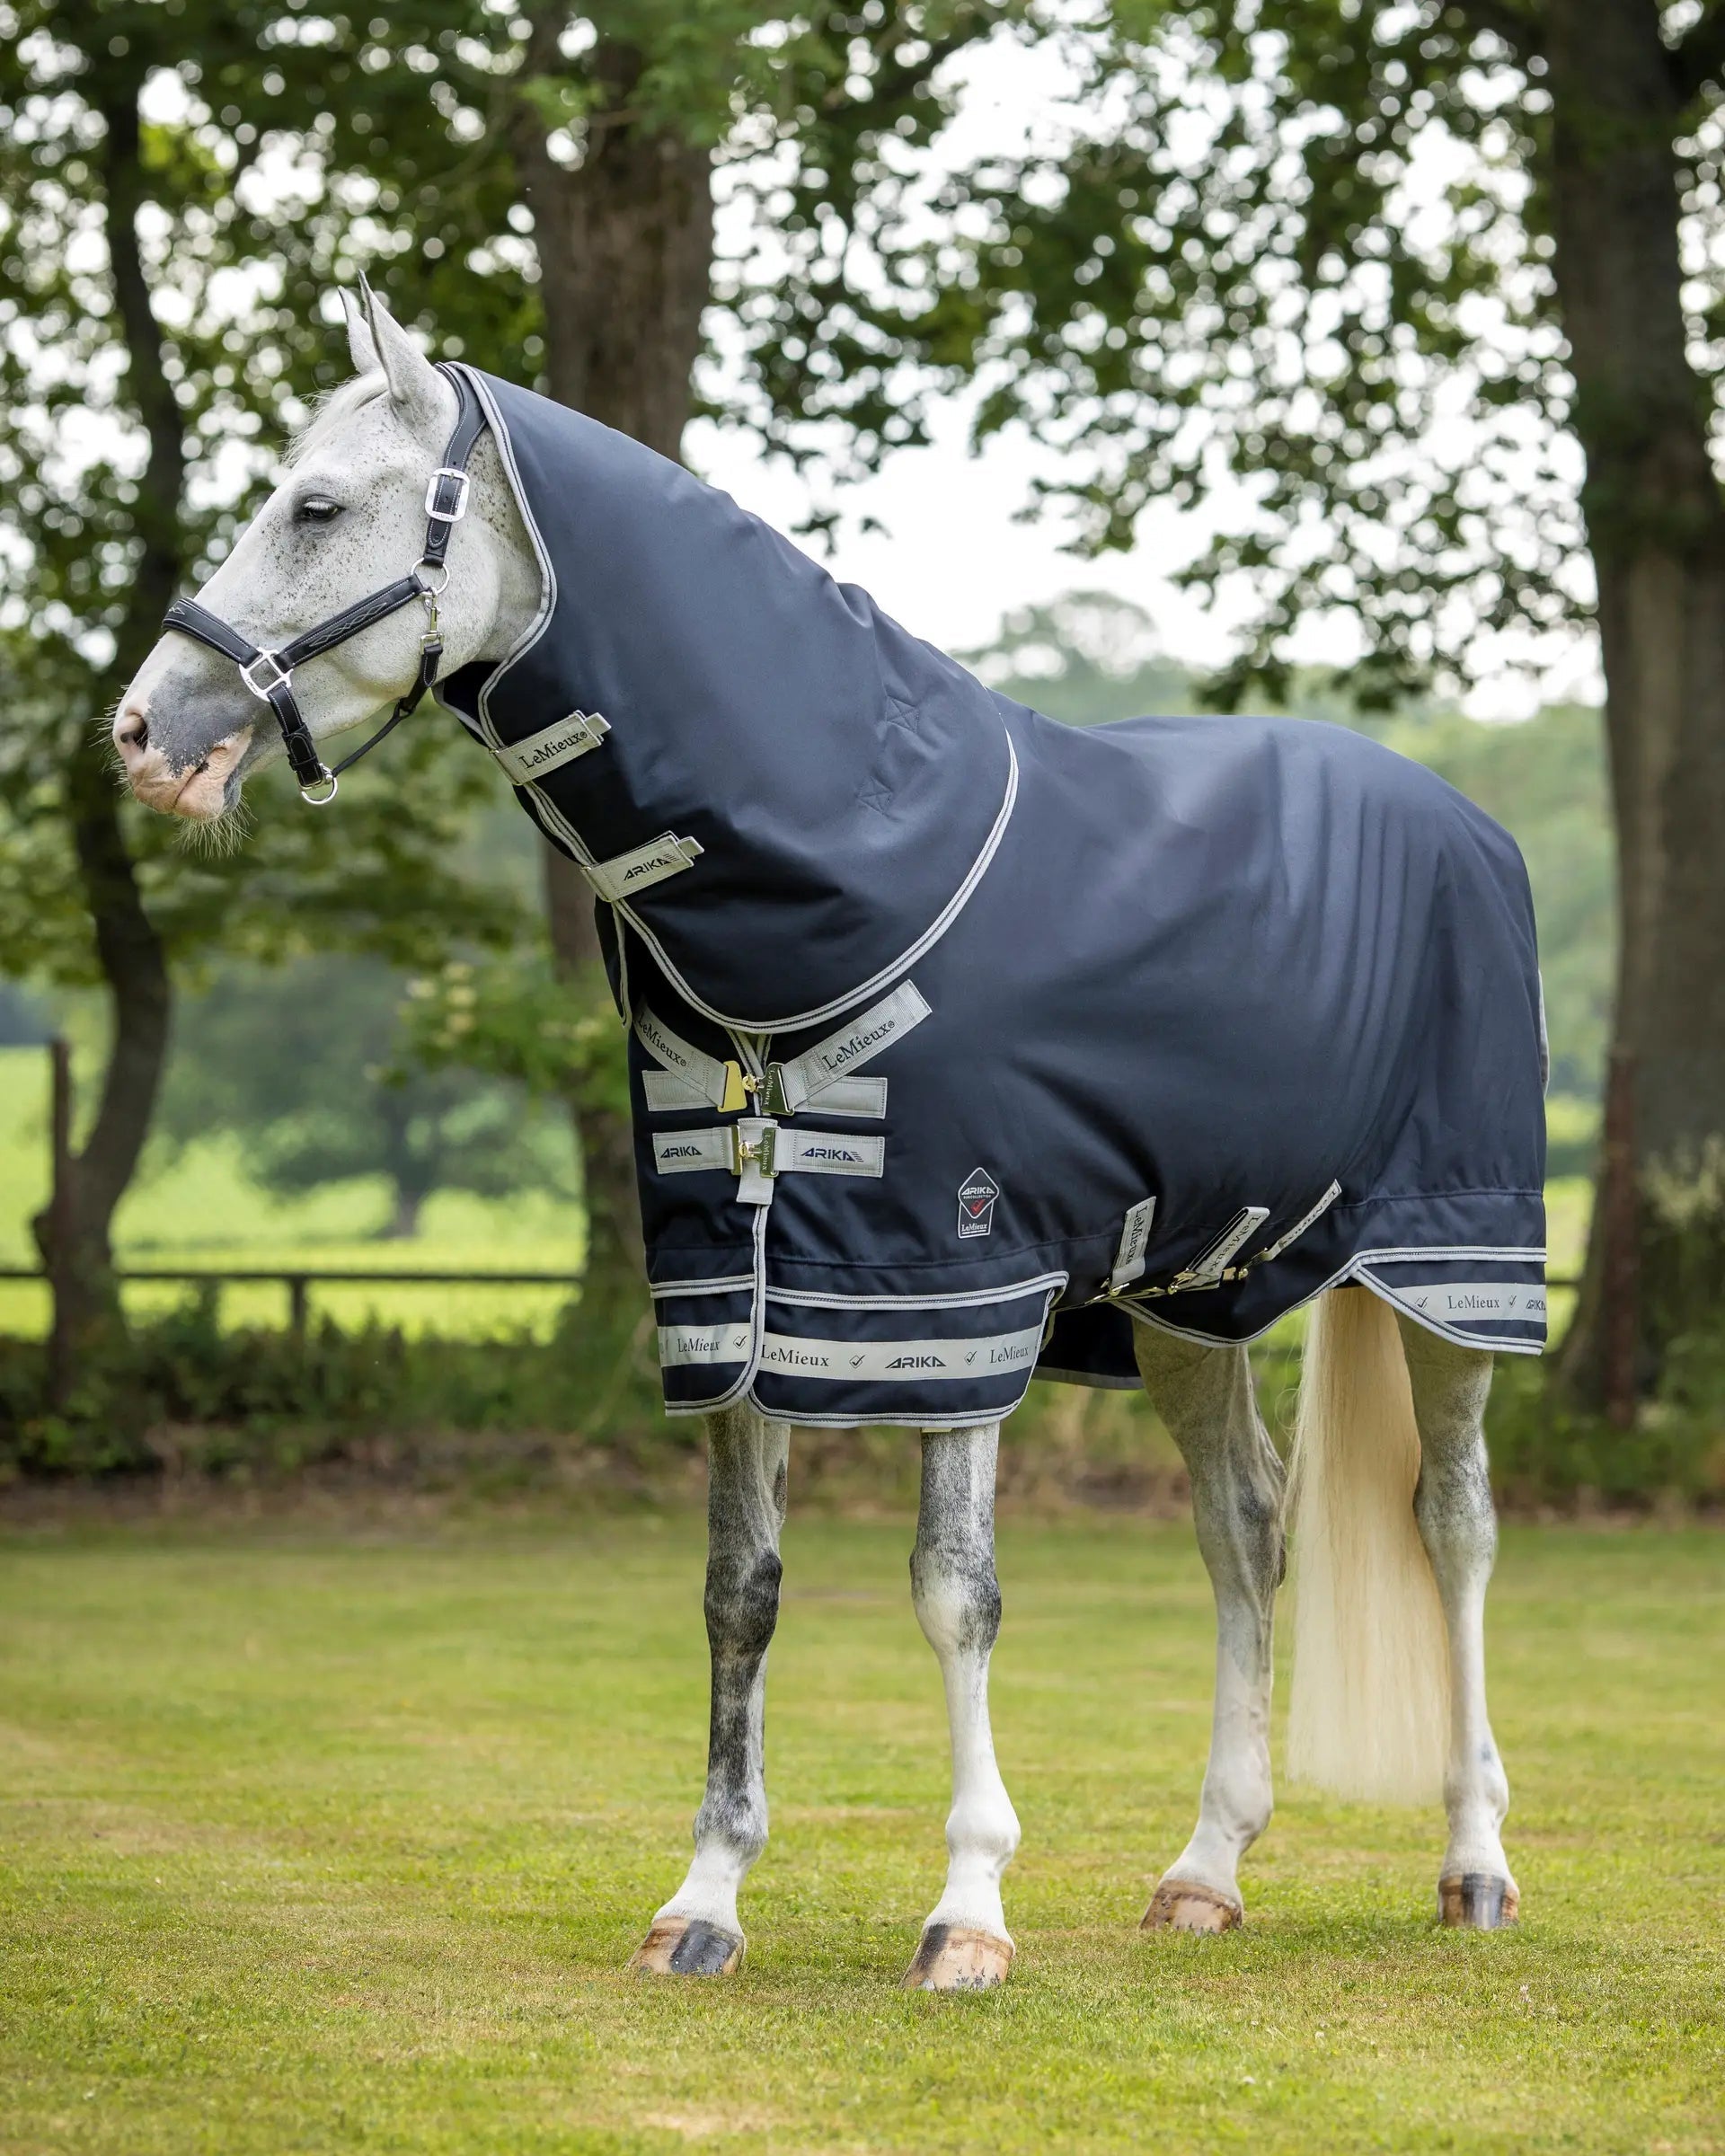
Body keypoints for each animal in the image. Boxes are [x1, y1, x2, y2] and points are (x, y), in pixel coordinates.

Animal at [114, 283, 1540, 1989]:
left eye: (316, 507)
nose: (147, 731)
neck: (843, 880)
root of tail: (1467, 824)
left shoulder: (954, 1287)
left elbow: (955, 1595)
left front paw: (969, 1911)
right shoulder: (737, 1295)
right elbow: (740, 1593)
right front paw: (704, 1902)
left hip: (1452, 1276)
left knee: (1455, 1531)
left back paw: (1475, 1862)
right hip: (1192, 1294)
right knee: (1245, 1530)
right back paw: (1206, 1869)